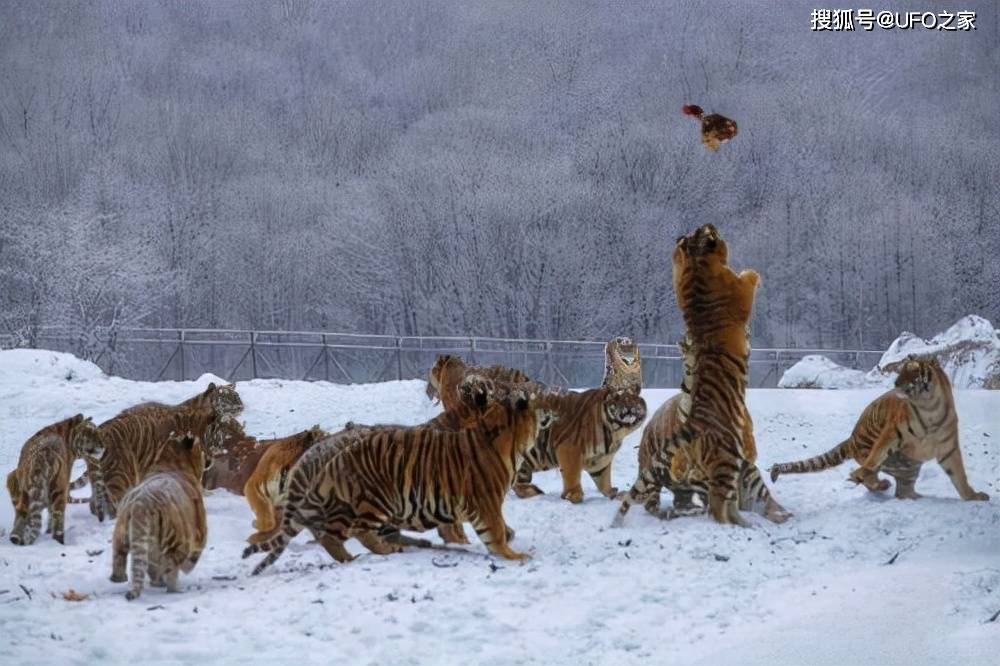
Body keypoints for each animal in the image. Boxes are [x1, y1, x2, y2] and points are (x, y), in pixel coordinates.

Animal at [6, 416, 108, 544]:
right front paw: (48, 532)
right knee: (58, 521)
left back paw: (16, 538)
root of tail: (42, 456)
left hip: (27, 490)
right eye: (92, 433)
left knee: (22, 512)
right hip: (59, 490)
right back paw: (58, 543)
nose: (103, 445)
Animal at [241, 390, 556, 572]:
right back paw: (383, 550)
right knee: (353, 531)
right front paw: (513, 555)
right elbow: (494, 531)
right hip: (377, 500)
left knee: (329, 534)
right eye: (537, 405)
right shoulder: (485, 499)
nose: (550, 412)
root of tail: (324, 459)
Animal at [516, 386, 648, 500]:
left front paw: (613, 493)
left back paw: (531, 491)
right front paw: (573, 495)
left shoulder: (601, 459)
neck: (616, 431)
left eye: (632, 398)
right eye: (617, 398)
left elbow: (603, 478)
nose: (628, 407)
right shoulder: (569, 448)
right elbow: (571, 473)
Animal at [612, 226, 768, 528]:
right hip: (709, 463)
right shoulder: (737, 293)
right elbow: (745, 280)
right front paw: (753, 272)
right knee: (705, 503)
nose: (707, 226)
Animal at [768, 352, 988, 498]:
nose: (896, 383)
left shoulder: (948, 447)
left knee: (903, 488)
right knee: (874, 473)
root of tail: (851, 439)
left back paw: (912, 496)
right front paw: (858, 474)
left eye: (913, 371)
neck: (929, 408)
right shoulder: (892, 433)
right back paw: (878, 483)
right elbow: (874, 458)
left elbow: (958, 474)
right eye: (901, 370)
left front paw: (973, 496)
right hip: (887, 455)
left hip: (910, 465)